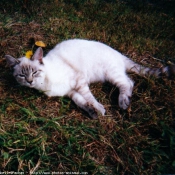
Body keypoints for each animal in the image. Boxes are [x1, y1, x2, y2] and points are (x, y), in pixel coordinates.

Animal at [4, 38, 174, 119]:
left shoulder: (79, 82)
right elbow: (81, 102)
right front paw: (92, 112)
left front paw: (99, 109)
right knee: (129, 81)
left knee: (128, 82)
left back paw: (123, 102)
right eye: (22, 75)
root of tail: (119, 53)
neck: (45, 86)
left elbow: (90, 98)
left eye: (34, 72)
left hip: (111, 74)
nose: (29, 81)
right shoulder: (70, 92)